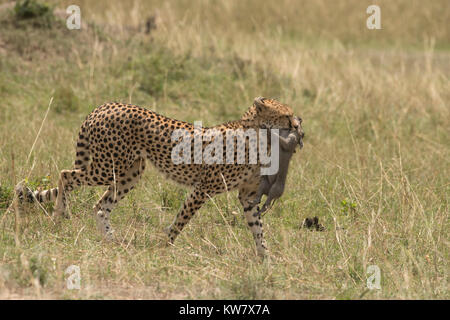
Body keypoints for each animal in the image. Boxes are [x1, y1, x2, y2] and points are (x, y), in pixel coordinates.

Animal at [17, 96, 300, 256]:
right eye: (286, 115)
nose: (298, 124)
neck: (258, 135)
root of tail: (104, 105)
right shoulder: (203, 188)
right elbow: (182, 219)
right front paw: (166, 246)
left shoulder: (248, 196)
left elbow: (257, 228)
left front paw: (266, 259)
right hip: (107, 167)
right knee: (66, 175)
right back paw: (59, 216)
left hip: (129, 173)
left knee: (100, 205)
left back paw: (112, 240)